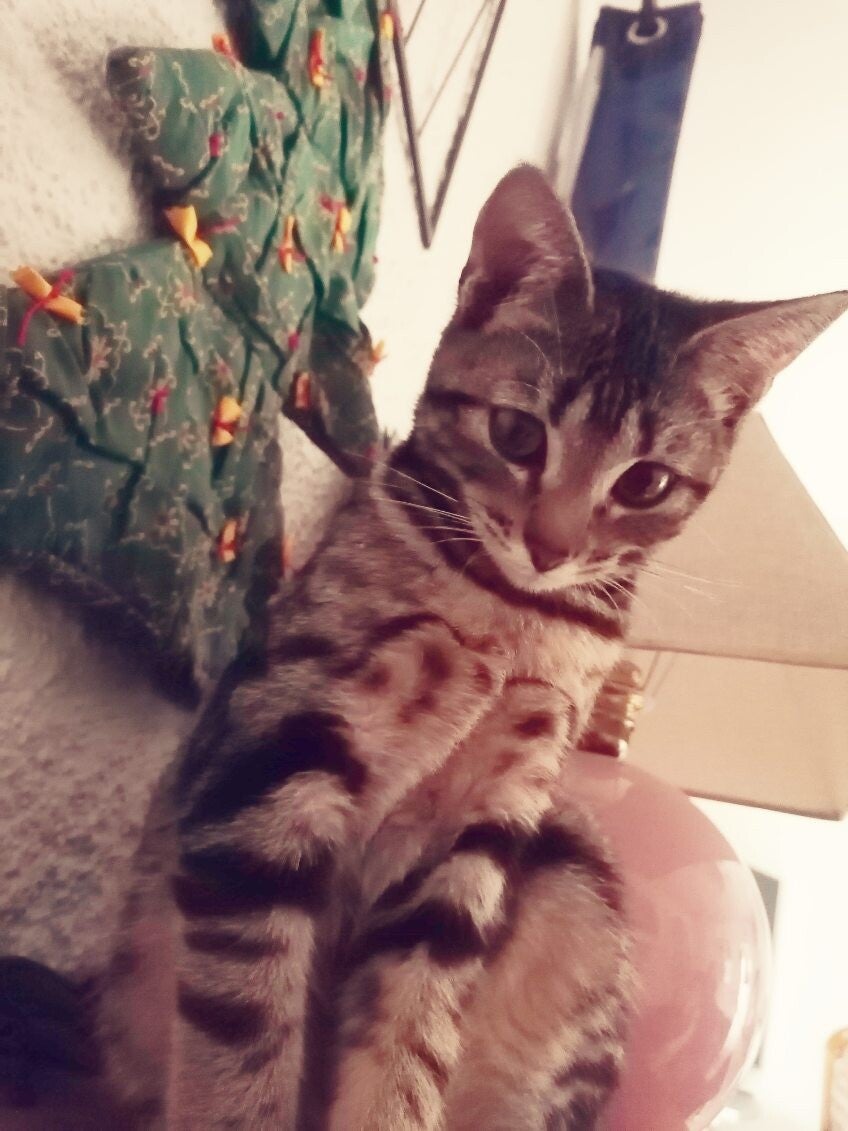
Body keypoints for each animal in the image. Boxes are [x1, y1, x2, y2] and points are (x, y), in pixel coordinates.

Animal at [94, 165, 847, 1131]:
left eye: (645, 482)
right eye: (518, 434)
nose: (552, 547)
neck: (509, 613)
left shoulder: (485, 835)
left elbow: (410, 1046)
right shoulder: (271, 768)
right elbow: (245, 1043)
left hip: (570, 868)